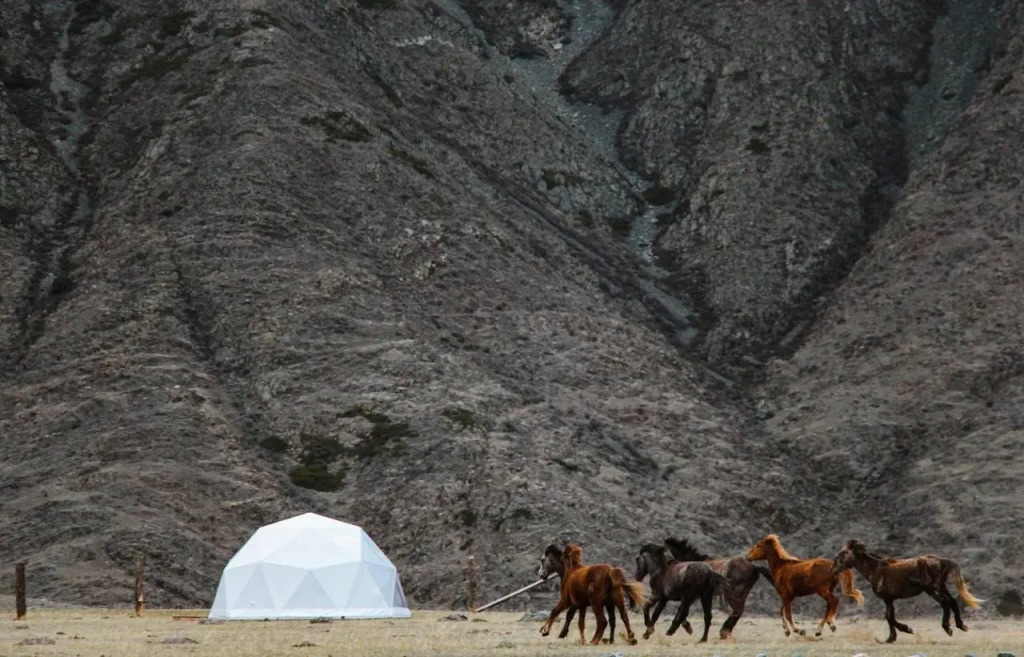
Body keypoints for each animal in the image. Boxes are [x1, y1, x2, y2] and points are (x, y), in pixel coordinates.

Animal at [831, 536, 983, 638]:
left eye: (843, 553)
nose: (833, 569)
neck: (876, 570)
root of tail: (941, 560)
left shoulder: (886, 598)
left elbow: (889, 617)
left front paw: (907, 629)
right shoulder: (890, 599)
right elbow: (889, 616)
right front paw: (891, 638)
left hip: (931, 589)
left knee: (945, 603)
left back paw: (948, 628)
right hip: (941, 586)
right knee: (952, 602)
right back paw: (962, 625)